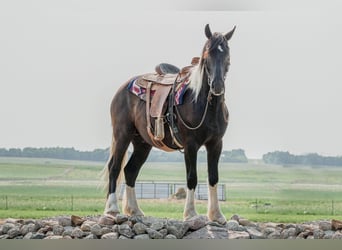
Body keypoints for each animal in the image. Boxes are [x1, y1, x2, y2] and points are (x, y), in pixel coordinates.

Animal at [101, 23, 235, 225]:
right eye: (206, 56)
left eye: (227, 55)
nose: (217, 85)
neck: (203, 104)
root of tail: (123, 88)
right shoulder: (190, 145)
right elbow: (191, 177)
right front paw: (191, 214)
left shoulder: (216, 143)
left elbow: (213, 177)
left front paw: (217, 215)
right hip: (122, 135)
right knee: (115, 168)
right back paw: (112, 209)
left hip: (142, 143)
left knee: (130, 170)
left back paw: (135, 210)